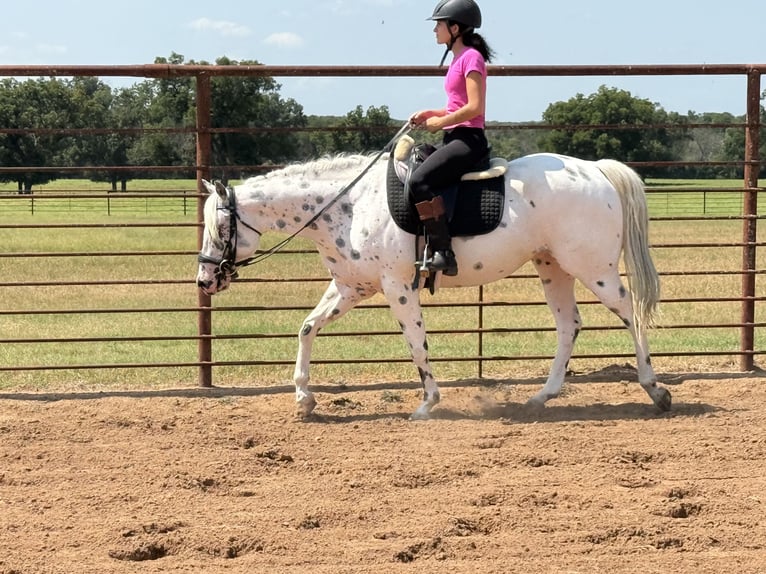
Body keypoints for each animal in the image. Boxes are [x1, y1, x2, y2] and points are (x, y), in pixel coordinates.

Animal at [196, 147, 671, 420]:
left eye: (220, 228)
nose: (204, 280)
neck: (349, 204)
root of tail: (596, 170)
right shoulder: (352, 288)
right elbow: (307, 328)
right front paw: (303, 398)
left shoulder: (397, 287)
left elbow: (415, 343)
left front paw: (427, 403)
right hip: (552, 266)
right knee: (569, 324)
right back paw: (542, 396)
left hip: (593, 268)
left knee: (630, 315)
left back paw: (655, 390)